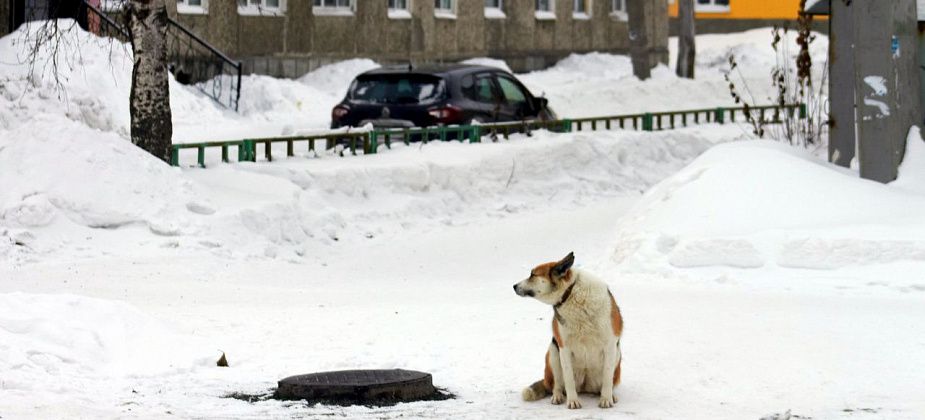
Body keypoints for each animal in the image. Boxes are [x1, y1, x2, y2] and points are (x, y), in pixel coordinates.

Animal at [512, 251, 620, 408]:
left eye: (532, 274)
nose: (514, 286)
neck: (571, 294)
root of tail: (585, 387)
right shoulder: (564, 348)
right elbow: (568, 379)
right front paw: (572, 401)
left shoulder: (610, 345)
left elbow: (607, 377)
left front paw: (606, 399)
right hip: (553, 351)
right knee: (557, 384)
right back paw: (557, 396)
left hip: (617, 355)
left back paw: (612, 395)